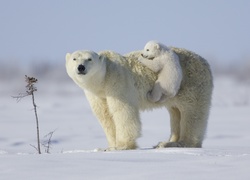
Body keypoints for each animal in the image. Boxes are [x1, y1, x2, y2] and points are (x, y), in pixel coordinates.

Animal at [65, 47, 213, 150]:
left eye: (89, 59)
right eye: (74, 59)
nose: (81, 67)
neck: (103, 79)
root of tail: (206, 62)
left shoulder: (117, 81)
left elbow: (122, 112)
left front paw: (122, 146)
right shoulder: (97, 95)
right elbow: (105, 116)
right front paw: (109, 146)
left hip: (191, 84)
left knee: (191, 113)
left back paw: (183, 143)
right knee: (175, 111)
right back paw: (167, 142)